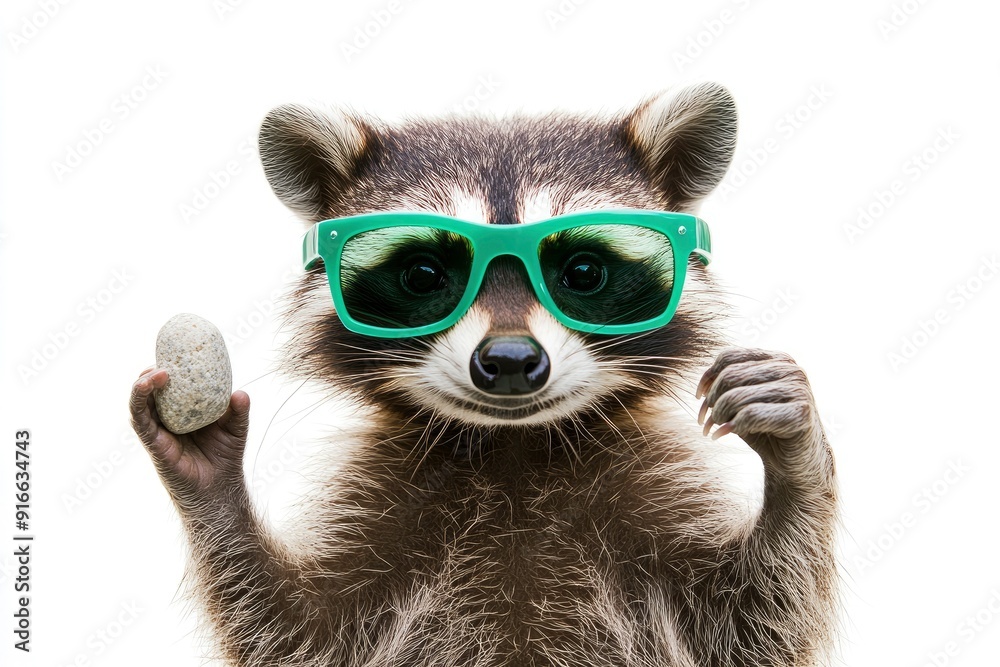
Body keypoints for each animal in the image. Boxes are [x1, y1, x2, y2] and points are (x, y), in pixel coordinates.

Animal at [129, 82, 838, 666]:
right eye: (423, 275)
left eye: (583, 272)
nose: (512, 362)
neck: (512, 448)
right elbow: (295, 629)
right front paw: (210, 475)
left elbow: (748, 621)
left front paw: (798, 458)